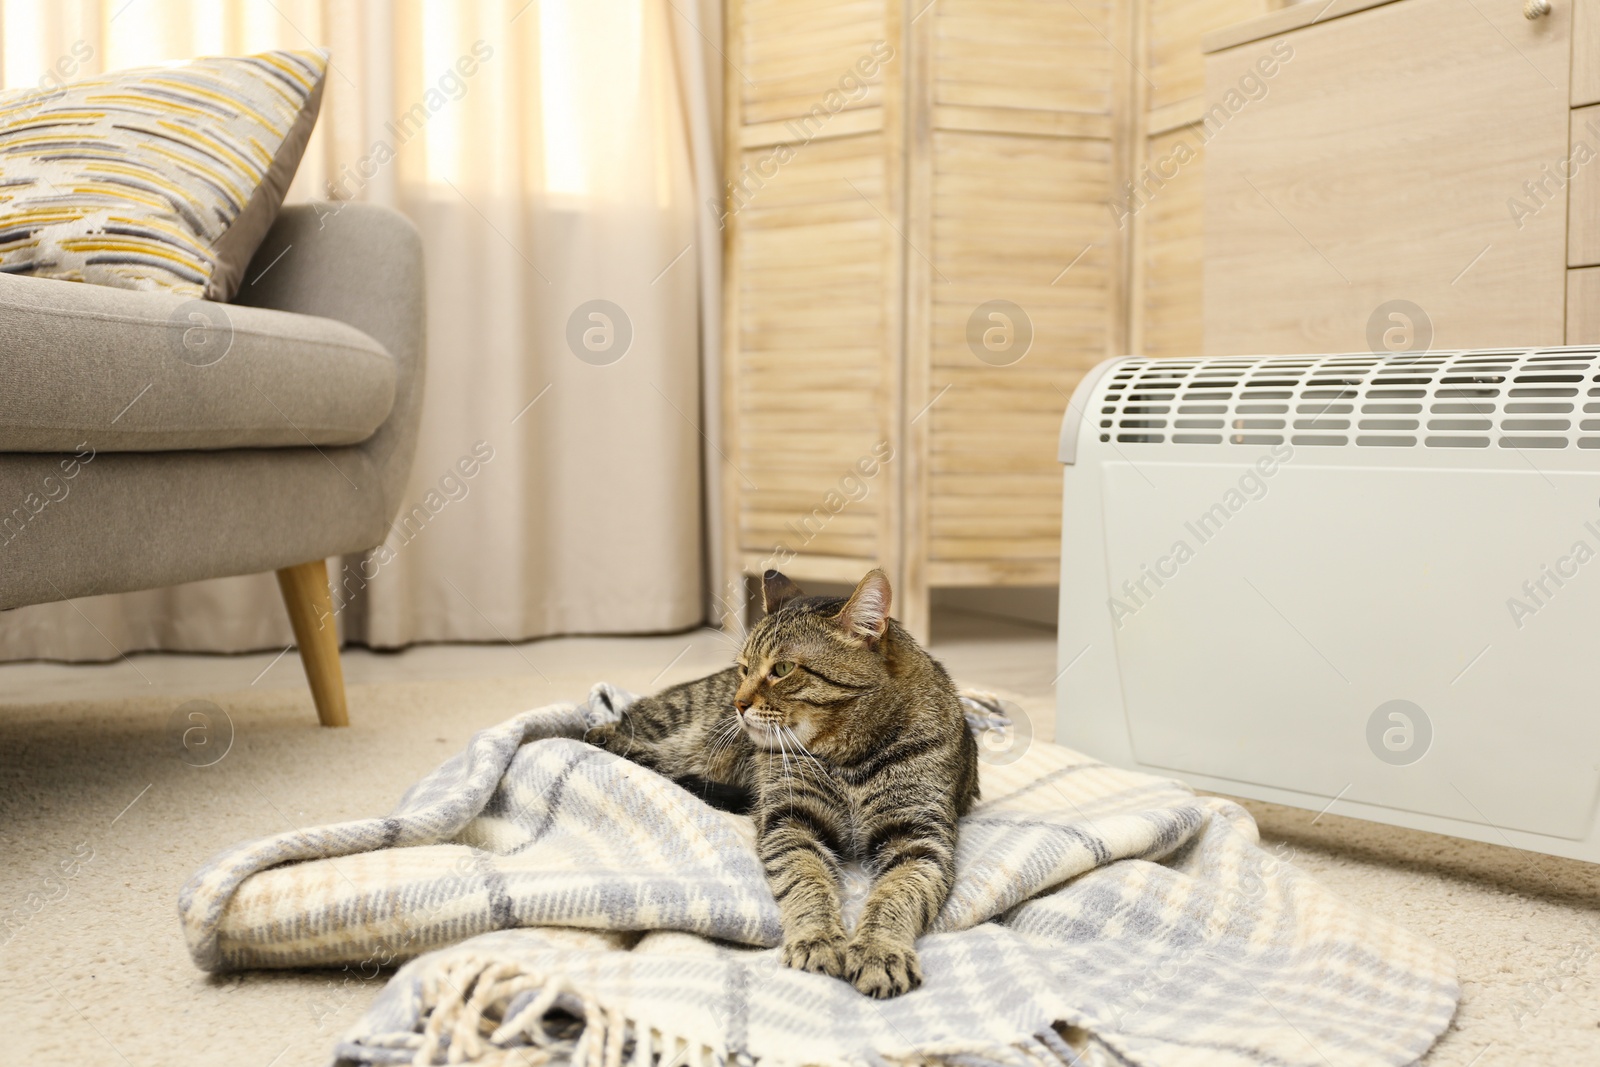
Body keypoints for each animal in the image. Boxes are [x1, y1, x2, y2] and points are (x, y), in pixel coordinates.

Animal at [582, 572, 979, 998]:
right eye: (744, 669)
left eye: (783, 668)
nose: (738, 703)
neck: (849, 760)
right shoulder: (791, 819)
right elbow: (806, 880)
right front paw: (817, 939)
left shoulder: (920, 835)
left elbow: (897, 893)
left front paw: (879, 950)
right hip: (669, 726)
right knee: (600, 730)